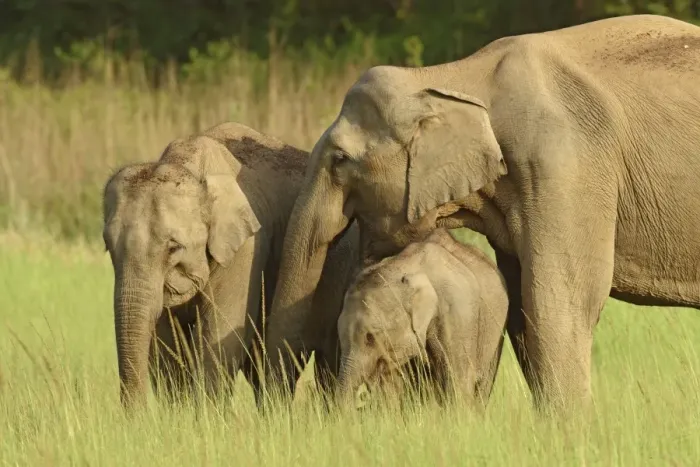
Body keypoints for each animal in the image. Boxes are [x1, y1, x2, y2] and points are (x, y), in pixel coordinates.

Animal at [102, 121, 359, 408]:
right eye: (108, 246)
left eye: (173, 247)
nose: (139, 414)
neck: (188, 166)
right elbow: (165, 343)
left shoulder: (246, 249)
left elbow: (220, 335)